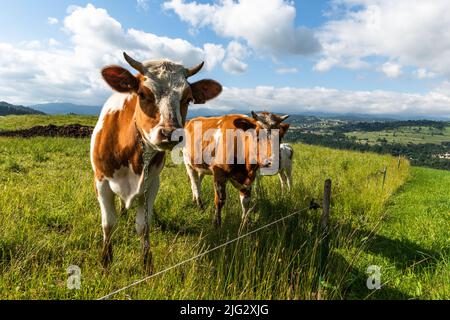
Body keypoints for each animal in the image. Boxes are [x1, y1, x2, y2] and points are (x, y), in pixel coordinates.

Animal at [91, 52, 223, 270]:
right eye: (142, 93)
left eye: (188, 98)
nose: (170, 133)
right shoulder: (101, 182)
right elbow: (109, 223)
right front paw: (106, 261)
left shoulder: (152, 184)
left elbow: (144, 226)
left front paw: (147, 263)